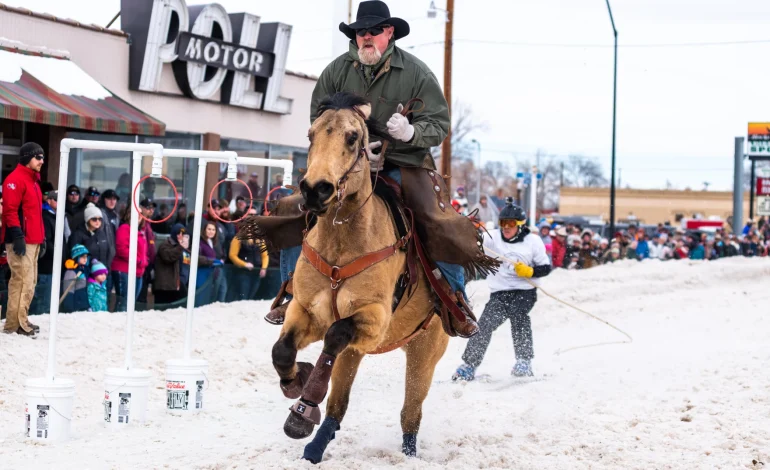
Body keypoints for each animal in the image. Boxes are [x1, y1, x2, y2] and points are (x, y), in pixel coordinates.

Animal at [272, 93, 448, 464]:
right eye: (310, 134)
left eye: (353, 137)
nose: (315, 189)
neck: (342, 243)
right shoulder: (305, 311)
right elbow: (282, 350)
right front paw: (296, 383)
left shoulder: (374, 319)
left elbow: (336, 334)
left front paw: (302, 411)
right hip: (356, 354)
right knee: (337, 407)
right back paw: (314, 447)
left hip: (425, 351)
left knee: (410, 413)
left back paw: (407, 454)